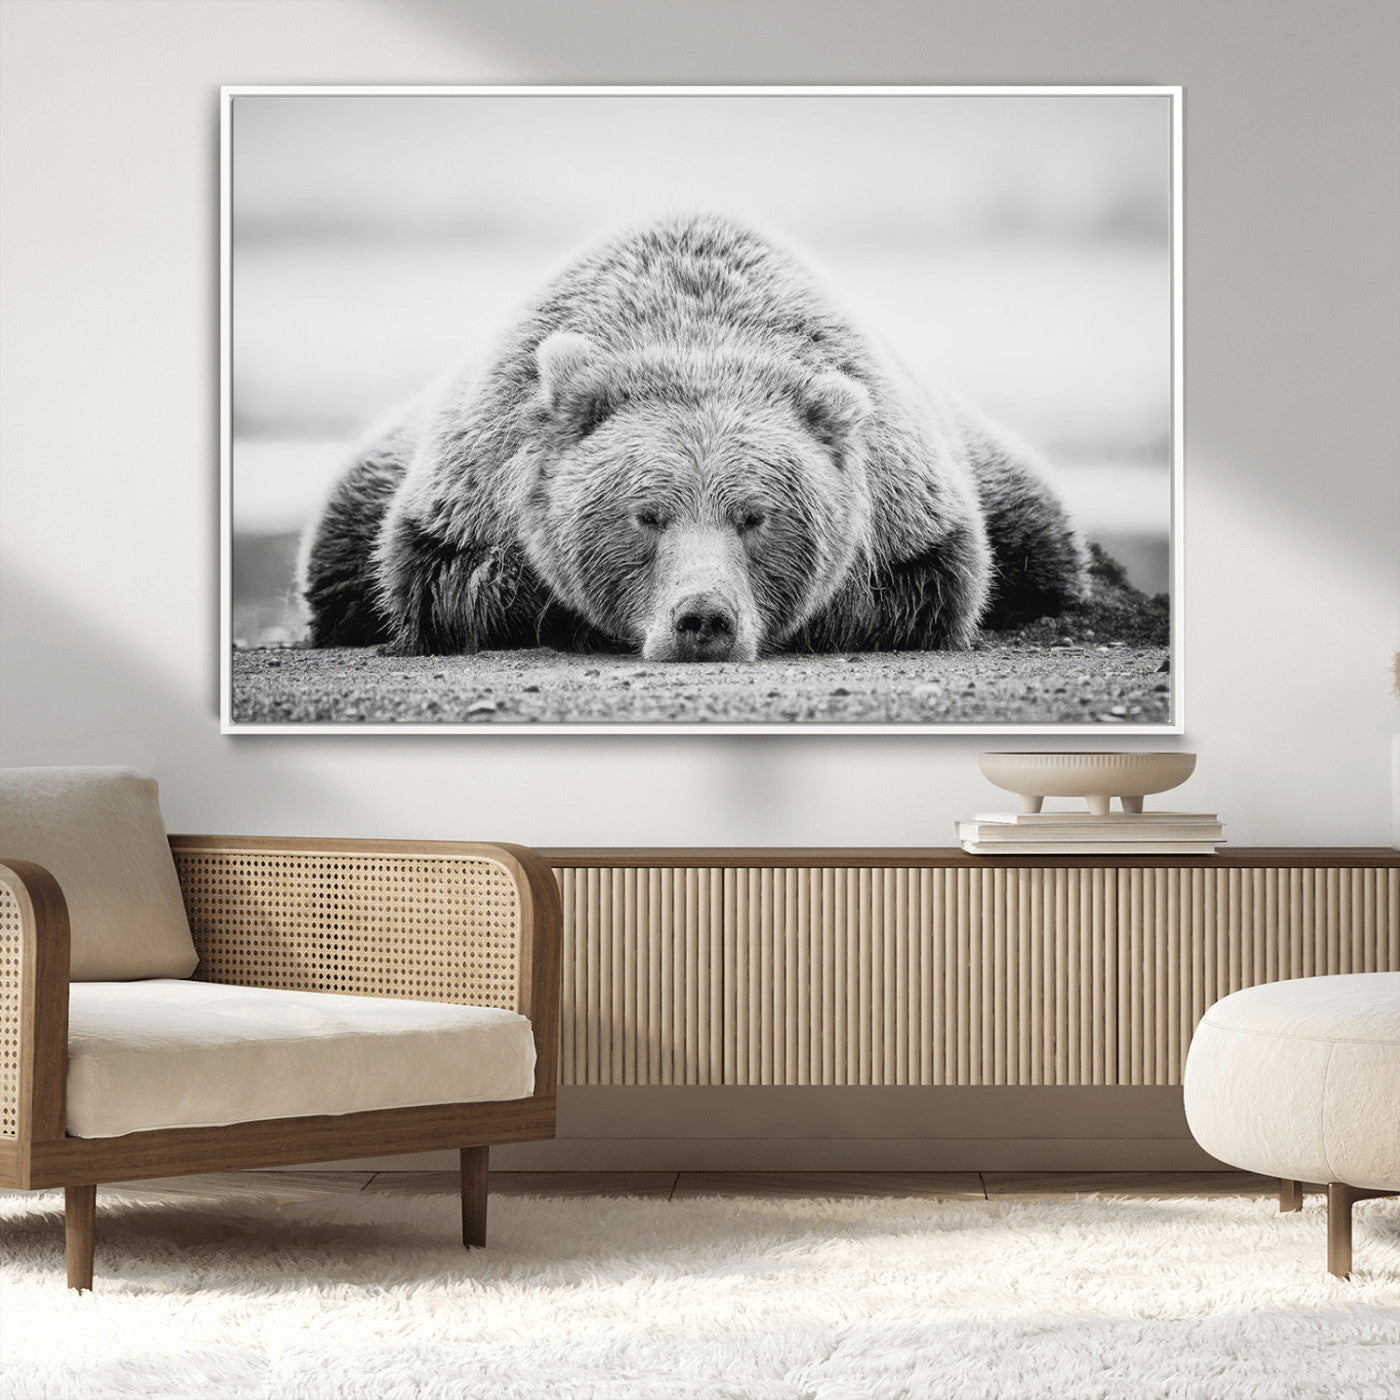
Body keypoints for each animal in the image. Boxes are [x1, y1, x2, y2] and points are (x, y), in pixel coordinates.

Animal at [299, 213, 1086, 661]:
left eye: (756, 516)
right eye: (646, 515)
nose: (703, 618)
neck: (696, 335)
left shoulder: (908, 510)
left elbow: (923, 587)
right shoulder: (470, 492)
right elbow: (451, 582)